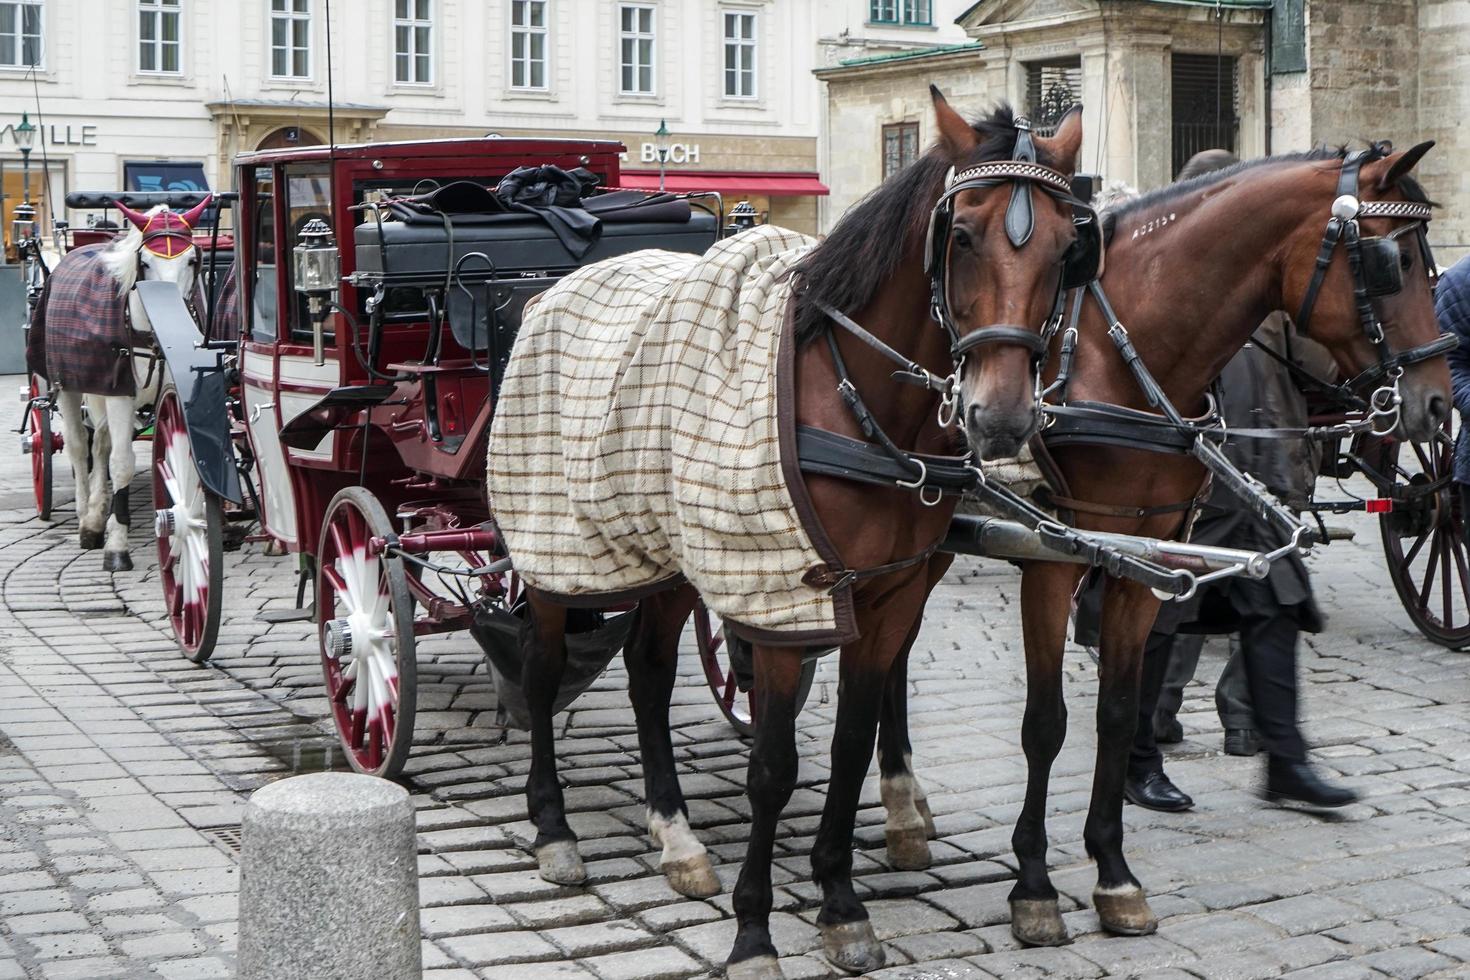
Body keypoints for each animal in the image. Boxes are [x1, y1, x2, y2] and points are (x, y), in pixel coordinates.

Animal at [53, 196, 208, 567]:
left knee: (100, 444)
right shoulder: (120, 394)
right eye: (146, 263)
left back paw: (96, 515)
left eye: (191, 260)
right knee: (79, 446)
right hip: (68, 386)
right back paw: (85, 515)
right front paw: (118, 546)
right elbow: (122, 464)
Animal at [508, 91, 1093, 980]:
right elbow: (772, 769)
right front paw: (753, 931)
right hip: (558, 546)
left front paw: (840, 900)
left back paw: (674, 833)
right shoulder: (781, 596)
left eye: (1068, 250)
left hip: (671, 554)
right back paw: (553, 827)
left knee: (647, 672)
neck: (855, 399)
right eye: (961, 235)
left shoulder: (885, 597)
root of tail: (557, 288)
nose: (1002, 418)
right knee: (543, 672)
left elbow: (851, 743)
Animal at [870, 139, 1446, 952]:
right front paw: (1034, 886)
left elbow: (1118, 709)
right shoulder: (1055, 560)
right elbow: (1045, 724)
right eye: (1390, 261)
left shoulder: (1143, 561)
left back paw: (905, 806)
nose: (1437, 402)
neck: (1122, 361)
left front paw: (1114, 873)